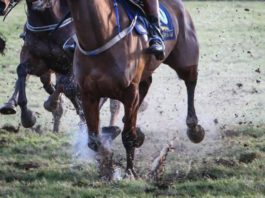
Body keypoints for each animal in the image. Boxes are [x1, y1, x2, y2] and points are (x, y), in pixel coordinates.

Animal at [40, 0, 204, 178]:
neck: (99, 37)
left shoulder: (130, 92)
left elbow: (127, 136)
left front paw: (130, 172)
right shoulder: (88, 94)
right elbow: (94, 140)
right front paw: (107, 169)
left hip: (185, 59)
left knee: (190, 81)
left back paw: (194, 127)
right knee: (146, 85)